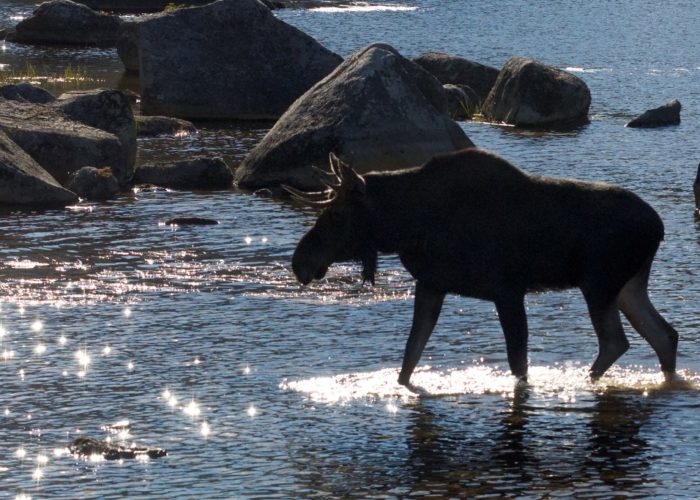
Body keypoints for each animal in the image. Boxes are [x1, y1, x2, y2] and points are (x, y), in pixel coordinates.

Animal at [286, 148, 680, 386]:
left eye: (336, 214)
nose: (299, 261)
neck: (406, 226)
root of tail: (659, 227)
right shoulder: (432, 285)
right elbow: (410, 357)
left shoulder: (507, 290)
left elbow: (518, 362)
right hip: (627, 285)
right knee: (664, 334)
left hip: (598, 283)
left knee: (615, 341)